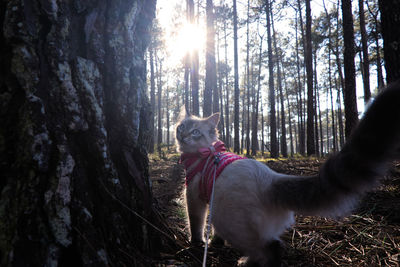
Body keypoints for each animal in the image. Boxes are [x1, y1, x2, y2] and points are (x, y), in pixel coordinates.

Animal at [175, 82, 400, 267]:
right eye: (181, 127)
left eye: (195, 132)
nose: (183, 135)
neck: (204, 154)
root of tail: (272, 180)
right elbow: (214, 232)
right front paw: (215, 243)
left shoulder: (194, 198)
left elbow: (195, 225)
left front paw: (196, 244)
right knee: (272, 245)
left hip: (228, 219)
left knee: (271, 250)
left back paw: (245, 263)